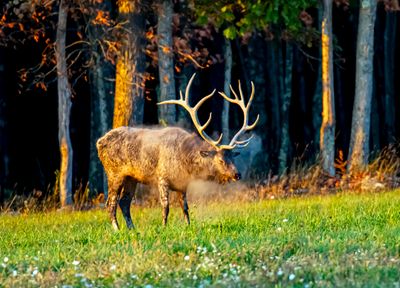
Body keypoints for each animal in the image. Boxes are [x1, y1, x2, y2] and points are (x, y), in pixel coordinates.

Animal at [97, 73, 260, 230]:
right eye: (220, 160)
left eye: (233, 157)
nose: (237, 174)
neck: (185, 161)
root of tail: (99, 142)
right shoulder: (162, 177)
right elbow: (165, 207)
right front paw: (163, 227)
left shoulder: (183, 184)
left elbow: (185, 208)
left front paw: (188, 226)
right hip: (114, 173)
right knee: (111, 202)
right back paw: (117, 229)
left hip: (131, 177)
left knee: (124, 202)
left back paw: (132, 229)